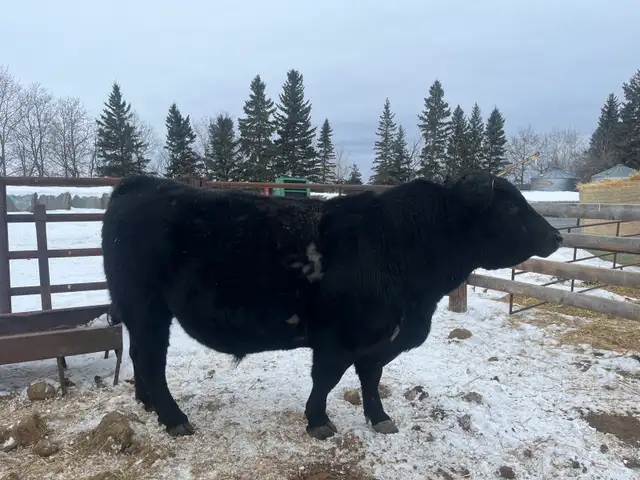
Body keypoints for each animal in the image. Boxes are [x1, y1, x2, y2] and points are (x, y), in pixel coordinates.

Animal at [101, 171, 562, 440]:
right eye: (510, 205)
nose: (557, 236)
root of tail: (142, 182)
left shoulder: (380, 338)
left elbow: (370, 378)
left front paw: (380, 418)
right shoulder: (339, 337)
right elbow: (326, 379)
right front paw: (318, 422)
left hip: (141, 311)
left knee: (142, 357)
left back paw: (148, 405)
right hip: (146, 307)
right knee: (152, 359)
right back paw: (174, 418)